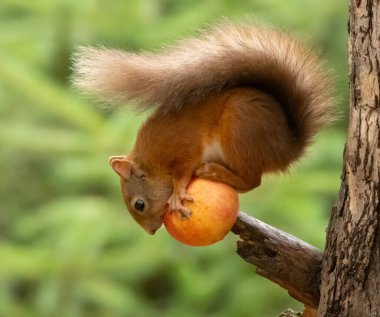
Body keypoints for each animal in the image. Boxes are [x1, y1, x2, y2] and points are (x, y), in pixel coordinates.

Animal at [72, 22, 332, 233]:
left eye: (139, 204)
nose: (151, 231)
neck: (153, 159)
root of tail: (288, 149)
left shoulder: (183, 145)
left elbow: (183, 171)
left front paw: (177, 193)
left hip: (239, 130)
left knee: (252, 180)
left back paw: (216, 173)